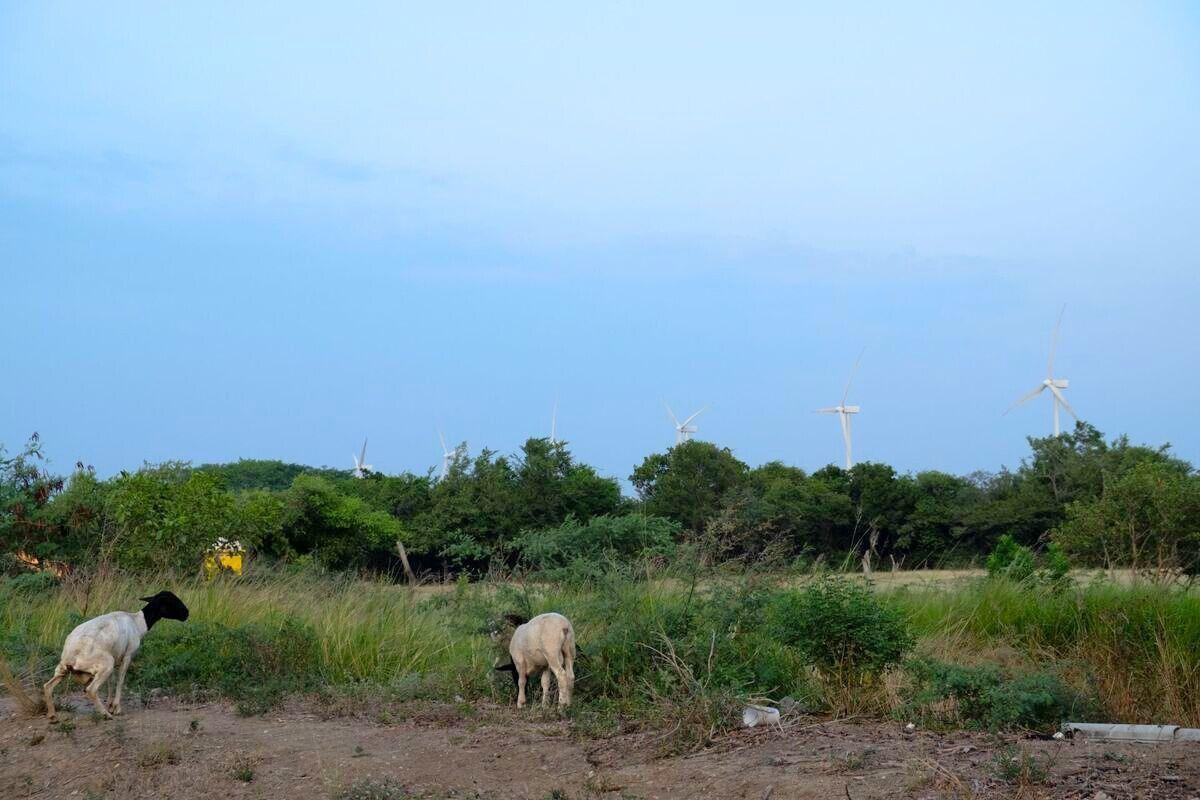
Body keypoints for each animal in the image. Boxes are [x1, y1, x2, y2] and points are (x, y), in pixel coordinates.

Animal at [41, 587, 187, 724]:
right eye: (171, 601)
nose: (186, 613)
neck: (137, 622)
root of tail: (71, 656)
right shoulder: (127, 656)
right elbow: (120, 680)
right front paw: (116, 708)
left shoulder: (116, 657)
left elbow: (111, 682)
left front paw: (110, 705)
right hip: (106, 662)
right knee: (91, 690)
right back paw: (106, 715)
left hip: (63, 669)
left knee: (47, 686)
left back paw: (53, 716)